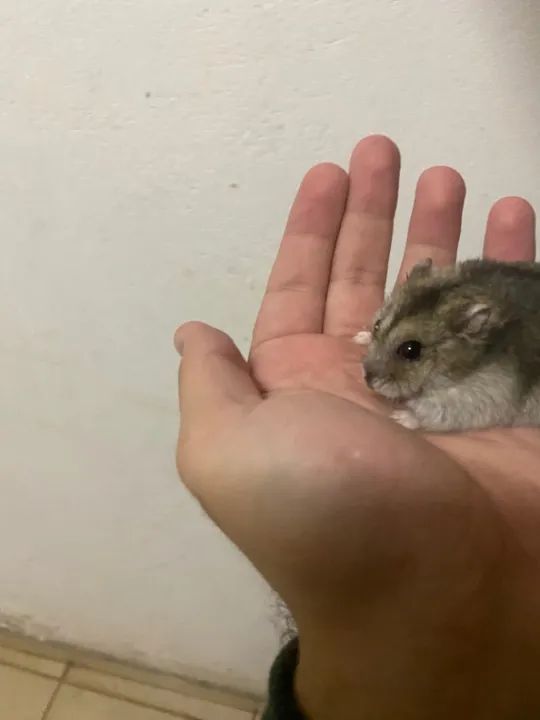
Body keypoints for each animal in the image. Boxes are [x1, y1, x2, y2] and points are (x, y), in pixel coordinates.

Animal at [355, 258, 540, 433]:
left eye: (410, 350)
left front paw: (399, 417)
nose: (367, 380)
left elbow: (432, 416)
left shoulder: (473, 401)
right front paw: (358, 337)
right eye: (377, 325)